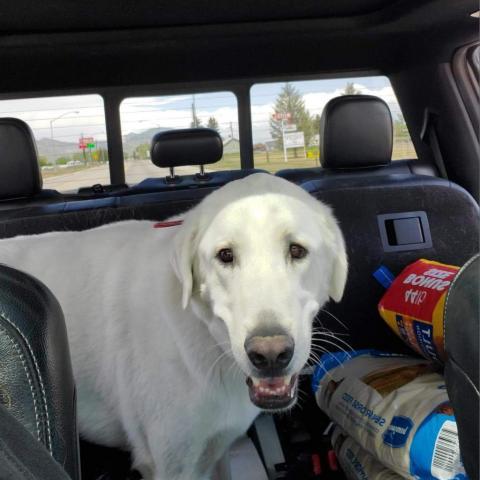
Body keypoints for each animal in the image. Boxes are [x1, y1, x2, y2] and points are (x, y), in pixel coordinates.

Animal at [0, 173, 346, 480]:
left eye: (297, 250)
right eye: (225, 255)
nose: (270, 354)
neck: (205, 335)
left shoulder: (216, 451)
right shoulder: (172, 466)